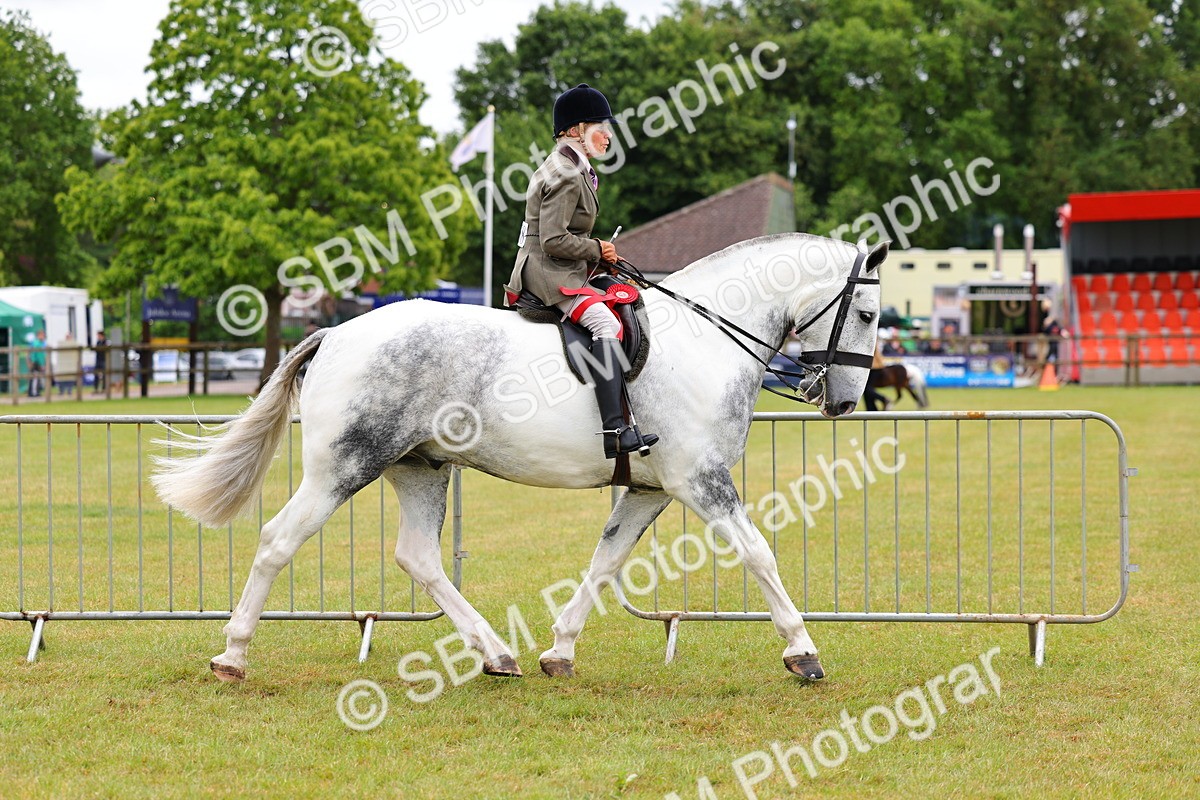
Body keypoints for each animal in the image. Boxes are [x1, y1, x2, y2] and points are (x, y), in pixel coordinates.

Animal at [152, 233, 888, 684]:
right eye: (869, 314)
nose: (844, 401)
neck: (707, 337)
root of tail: (335, 332)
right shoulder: (701, 482)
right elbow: (759, 554)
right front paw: (803, 652)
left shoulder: (651, 488)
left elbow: (604, 563)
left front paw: (558, 651)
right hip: (344, 467)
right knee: (278, 540)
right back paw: (232, 654)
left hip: (420, 467)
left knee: (418, 557)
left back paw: (496, 652)